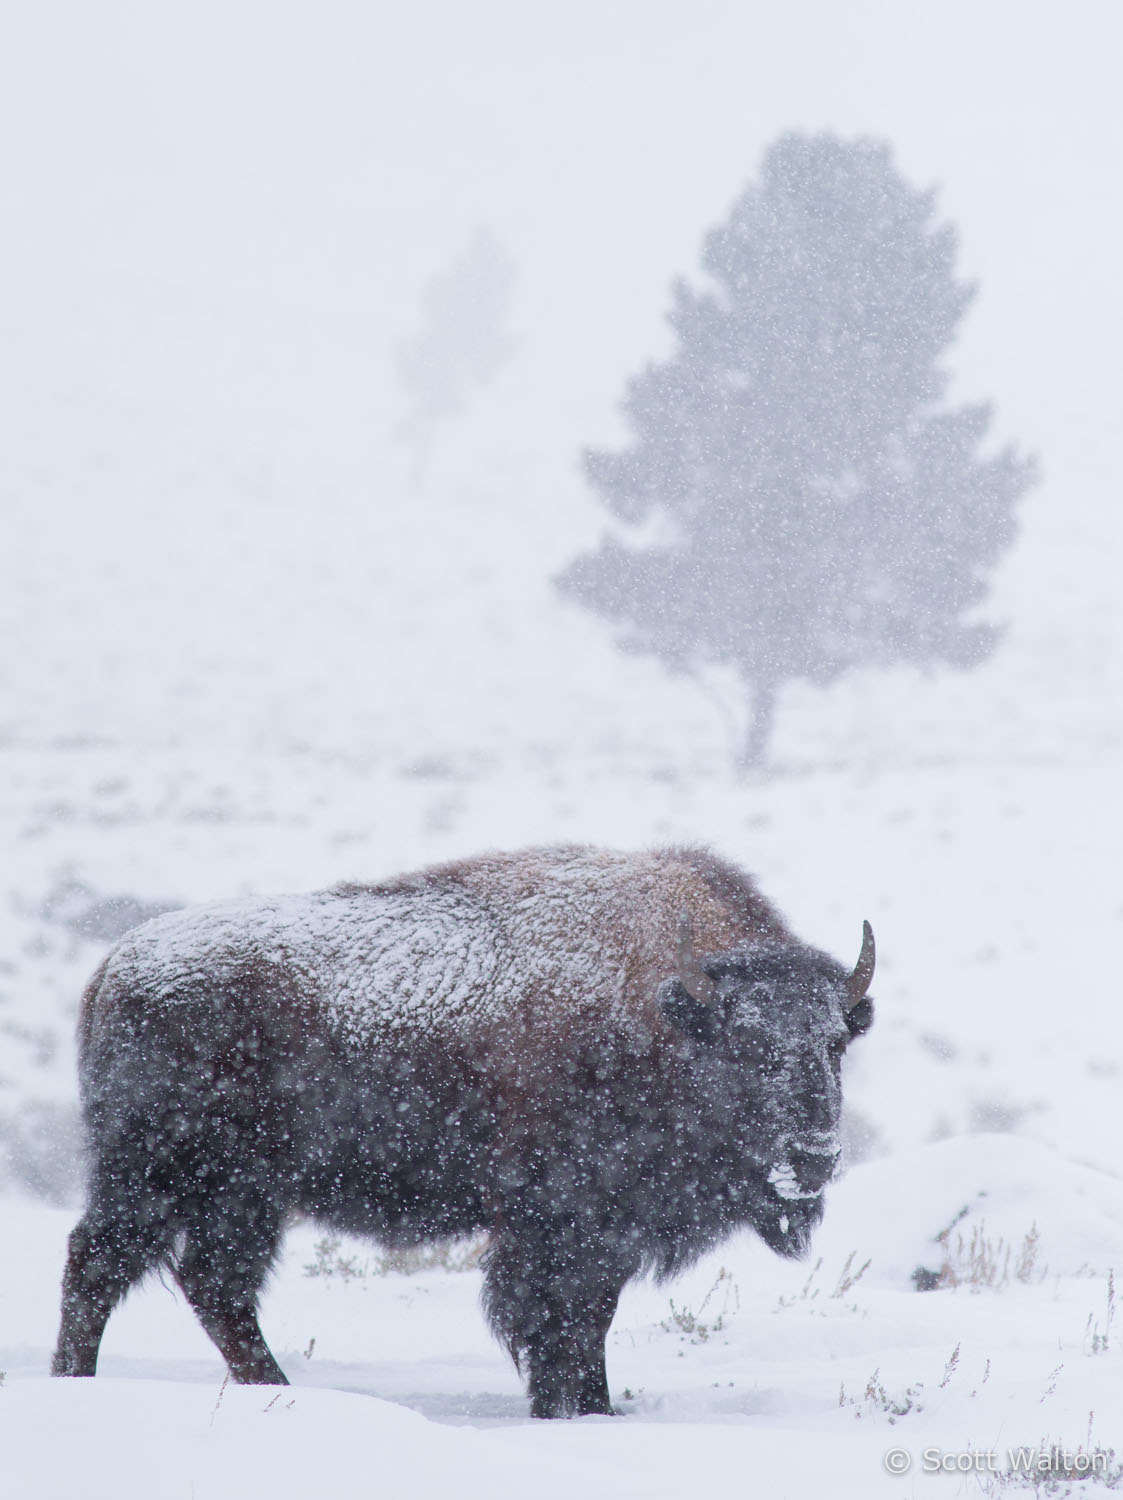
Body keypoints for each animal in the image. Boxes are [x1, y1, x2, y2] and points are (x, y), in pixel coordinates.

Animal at [52, 846, 869, 1416]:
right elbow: (557, 1325)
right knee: (99, 1265)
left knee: (215, 1286)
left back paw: (277, 1390)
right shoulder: (556, 1229)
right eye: (745, 1044)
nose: (812, 1156)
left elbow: (591, 1322)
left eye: (835, 1042)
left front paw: (598, 1411)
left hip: (243, 1197)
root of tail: (112, 971)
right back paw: (74, 1386)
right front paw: (567, 1414)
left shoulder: (609, 1234)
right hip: (155, 1177)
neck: (661, 1014)